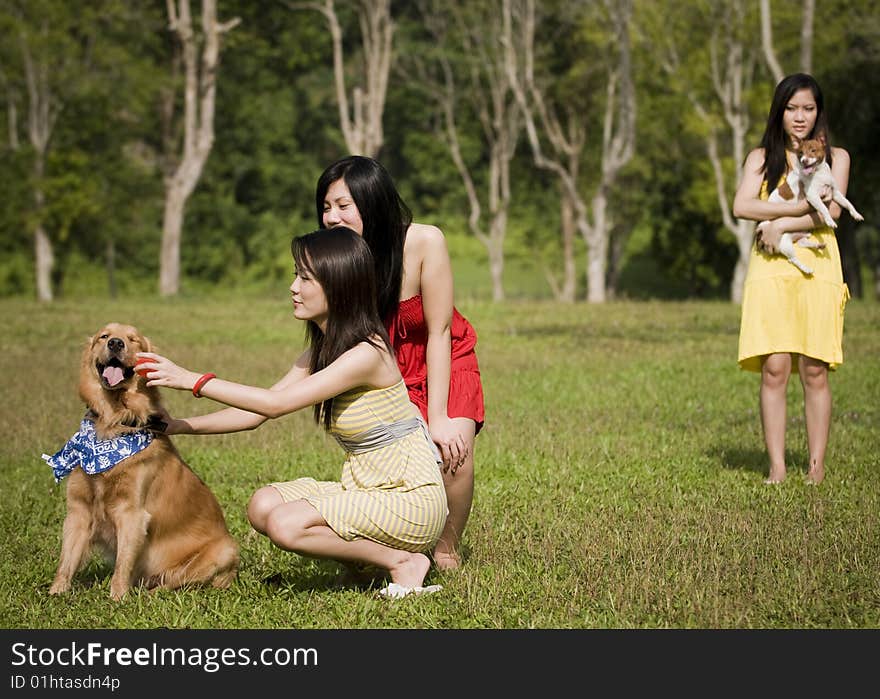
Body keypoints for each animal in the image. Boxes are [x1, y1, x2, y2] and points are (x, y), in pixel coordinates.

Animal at [46, 322, 239, 600]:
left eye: (133, 339)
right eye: (104, 336)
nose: (116, 343)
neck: (115, 423)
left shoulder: (132, 513)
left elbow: (122, 565)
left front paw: (117, 599)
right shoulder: (78, 510)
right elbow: (66, 560)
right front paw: (56, 593)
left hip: (225, 550)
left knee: (171, 583)